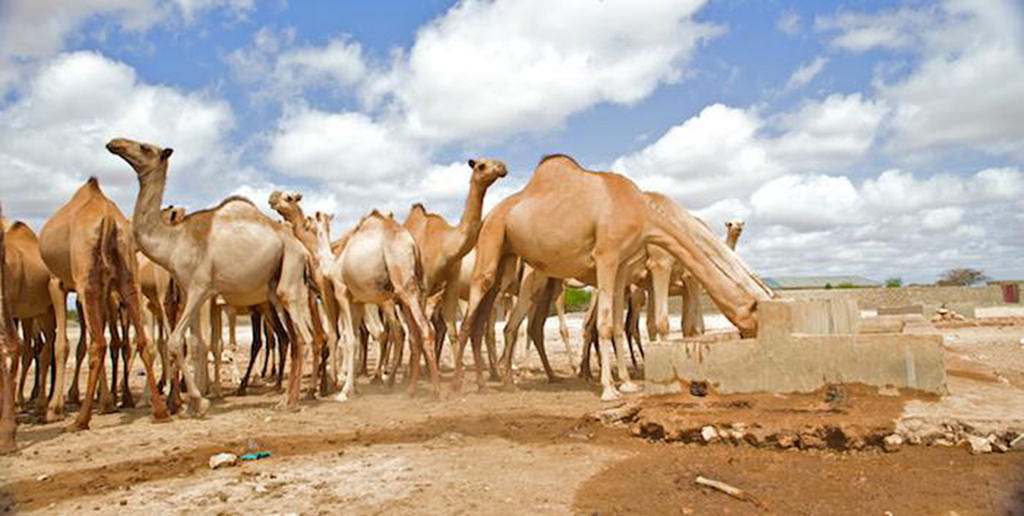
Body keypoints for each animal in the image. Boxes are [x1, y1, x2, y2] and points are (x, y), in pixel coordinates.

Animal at [38, 176, 167, 427]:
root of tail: (108, 218)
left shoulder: (57, 282)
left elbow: (63, 345)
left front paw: (55, 409)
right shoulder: (104, 289)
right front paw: (106, 400)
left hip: (86, 279)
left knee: (98, 343)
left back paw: (80, 419)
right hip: (126, 275)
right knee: (139, 340)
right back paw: (158, 410)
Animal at [106, 138, 315, 415]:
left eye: (145, 147)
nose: (114, 143)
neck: (174, 241)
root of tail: (303, 251)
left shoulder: (200, 288)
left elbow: (176, 341)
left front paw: (200, 401)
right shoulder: (190, 292)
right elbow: (194, 342)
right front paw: (192, 403)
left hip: (289, 277)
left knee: (304, 337)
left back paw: (291, 402)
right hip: (275, 290)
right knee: (294, 339)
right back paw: (285, 400)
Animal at [311, 209, 440, 399]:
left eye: (311, 220)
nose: (308, 225)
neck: (334, 264)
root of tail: (412, 244)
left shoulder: (342, 292)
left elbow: (349, 339)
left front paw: (344, 391)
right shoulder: (357, 301)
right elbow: (355, 337)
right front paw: (354, 388)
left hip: (404, 283)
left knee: (425, 329)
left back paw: (437, 391)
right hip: (408, 292)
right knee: (413, 335)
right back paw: (409, 390)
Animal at [452, 155, 770, 401]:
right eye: (754, 312)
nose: (752, 335)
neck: (644, 211)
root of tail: (493, 213)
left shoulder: (622, 266)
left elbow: (618, 325)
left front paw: (627, 383)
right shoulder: (621, 258)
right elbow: (632, 324)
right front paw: (609, 389)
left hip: (511, 261)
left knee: (504, 322)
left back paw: (507, 381)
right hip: (495, 241)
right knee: (477, 312)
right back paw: (461, 384)